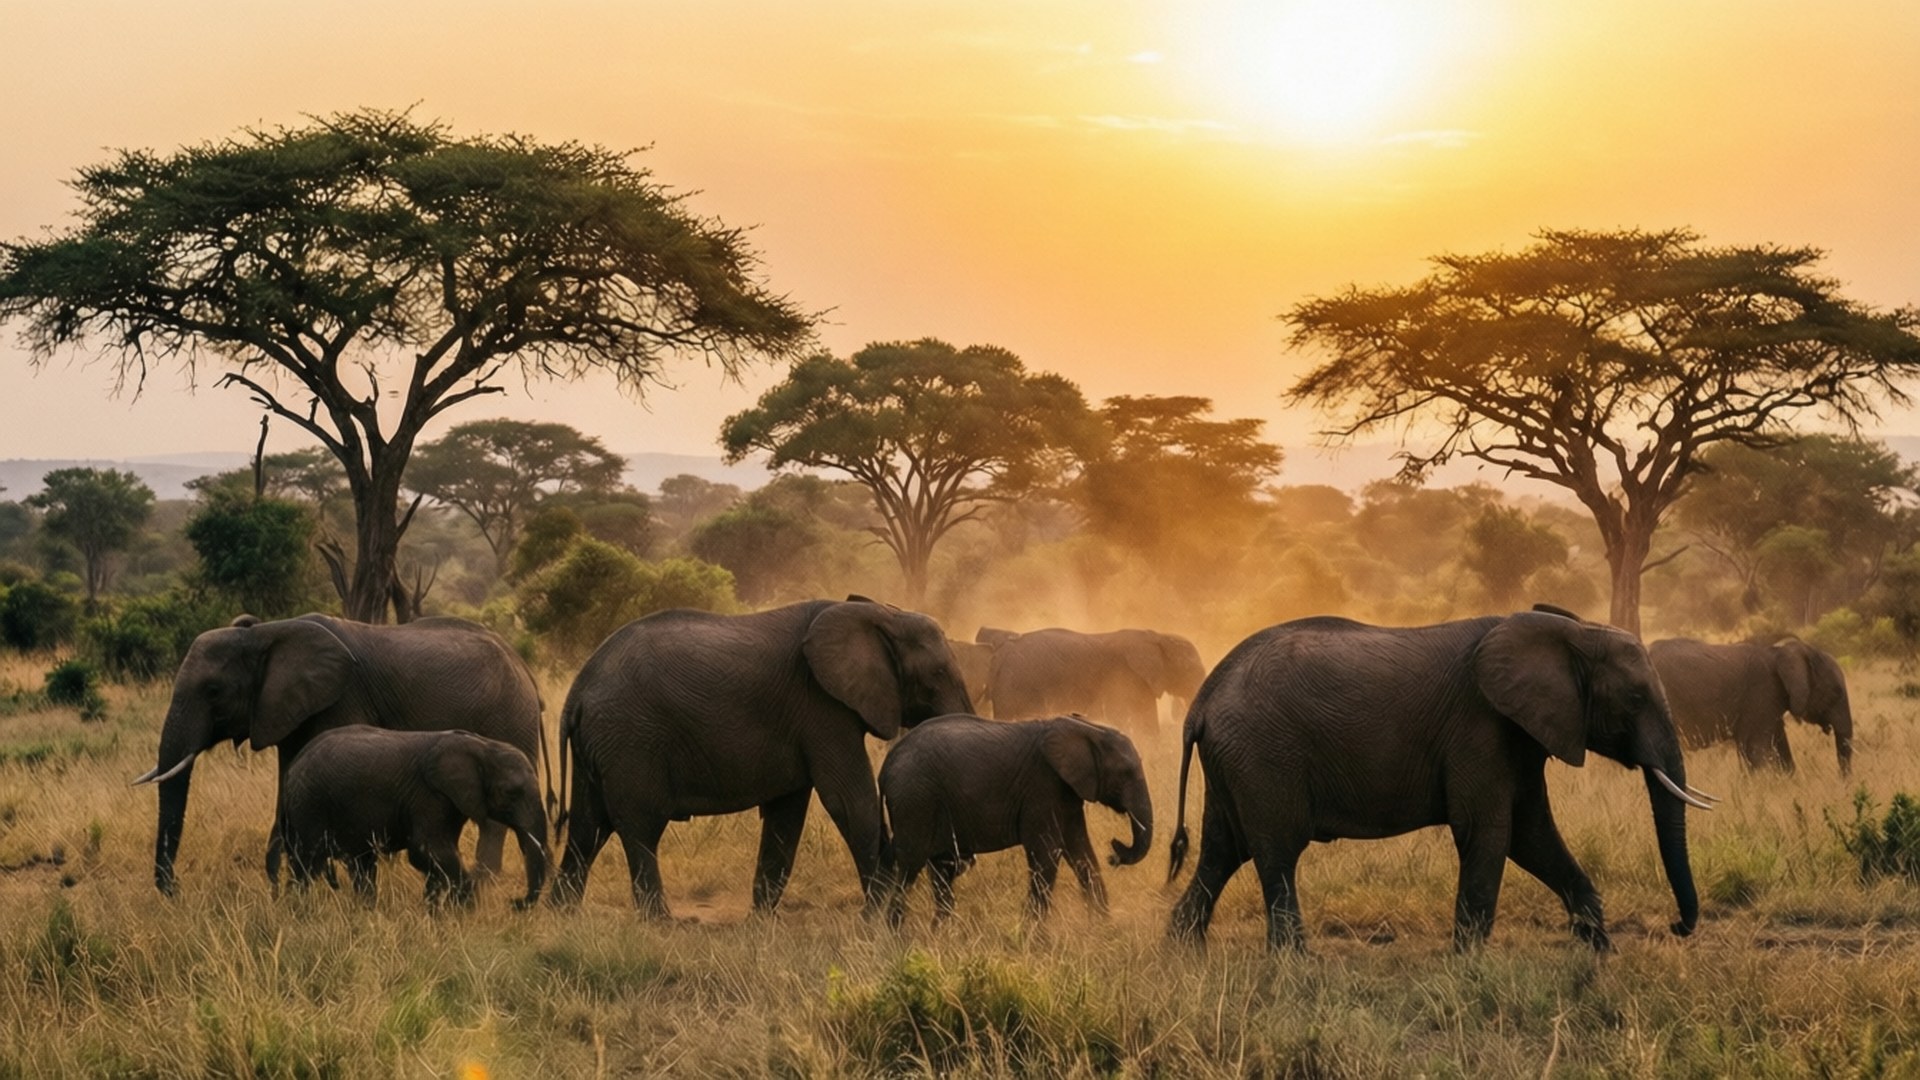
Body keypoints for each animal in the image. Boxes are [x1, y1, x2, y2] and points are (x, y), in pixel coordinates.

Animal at [274, 727, 549, 908]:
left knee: (362, 864)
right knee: (308, 864)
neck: (483, 746)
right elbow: (427, 850)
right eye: (512, 793)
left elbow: (437, 855)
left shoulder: (451, 801)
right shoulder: (429, 796)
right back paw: (299, 911)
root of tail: (292, 767)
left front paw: (437, 913)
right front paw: (460, 909)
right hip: (310, 807)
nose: (514, 902)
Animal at [549, 598, 973, 916]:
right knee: (639, 829)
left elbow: (786, 815)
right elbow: (849, 801)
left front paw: (762, 920)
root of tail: (577, 692)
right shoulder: (822, 708)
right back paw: (660, 923)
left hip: (601, 746)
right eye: (938, 673)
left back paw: (562, 918)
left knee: (587, 828)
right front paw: (879, 909)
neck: (882, 613)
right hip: (632, 740)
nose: (959, 863)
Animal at [879, 713, 1152, 924]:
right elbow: (1046, 854)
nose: (1114, 853)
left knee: (940, 870)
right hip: (915, 802)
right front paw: (1034, 939)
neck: (1088, 727)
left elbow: (1081, 851)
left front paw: (1102, 928)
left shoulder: (1066, 793)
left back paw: (940, 933)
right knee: (909, 867)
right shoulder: (1042, 788)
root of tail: (886, 765)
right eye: (1126, 773)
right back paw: (898, 939)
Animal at [1165, 610, 1710, 952]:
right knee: (1276, 852)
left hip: (1238, 762)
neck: (1569, 630)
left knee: (1222, 849)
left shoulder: (1519, 737)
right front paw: (1468, 964)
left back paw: (1181, 951)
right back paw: (1295, 962)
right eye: (1635, 699)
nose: (1677, 926)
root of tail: (1201, 703)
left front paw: (1599, 949)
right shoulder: (1480, 728)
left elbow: (1532, 837)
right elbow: (1489, 834)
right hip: (1264, 757)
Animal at [1649, 637, 1854, 774]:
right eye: (1835, 693)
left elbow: (1780, 746)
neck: (1781, 651)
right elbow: (1756, 751)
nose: (1843, 782)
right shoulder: (1761, 694)